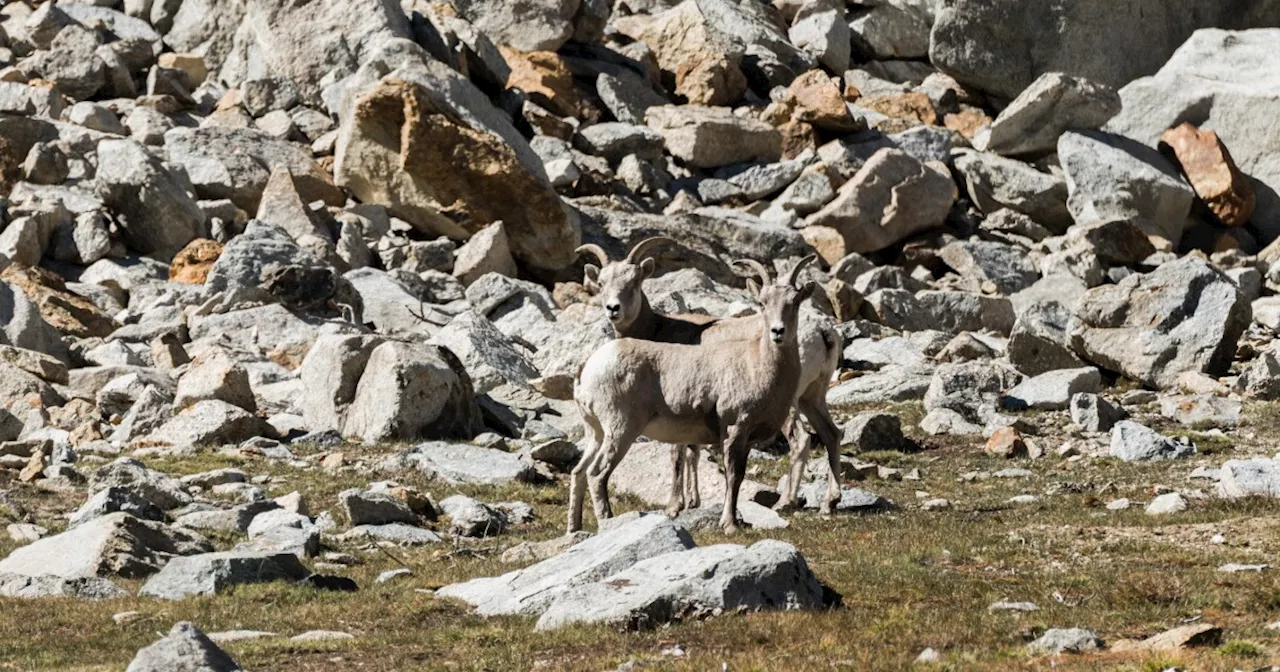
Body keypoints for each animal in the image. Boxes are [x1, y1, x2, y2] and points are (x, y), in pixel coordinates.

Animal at [578, 239, 839, 514]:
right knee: (831, 434)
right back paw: (829, 503)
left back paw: (785, 501)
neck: (659, 328)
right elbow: (693, 451)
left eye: (634, 281)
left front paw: (675, 505)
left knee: (800, 440)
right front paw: (693, 501)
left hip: (791, 404)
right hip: (813, 396)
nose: (613, 309)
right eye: (601, 283)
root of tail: (824, 332)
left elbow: (678, 454)